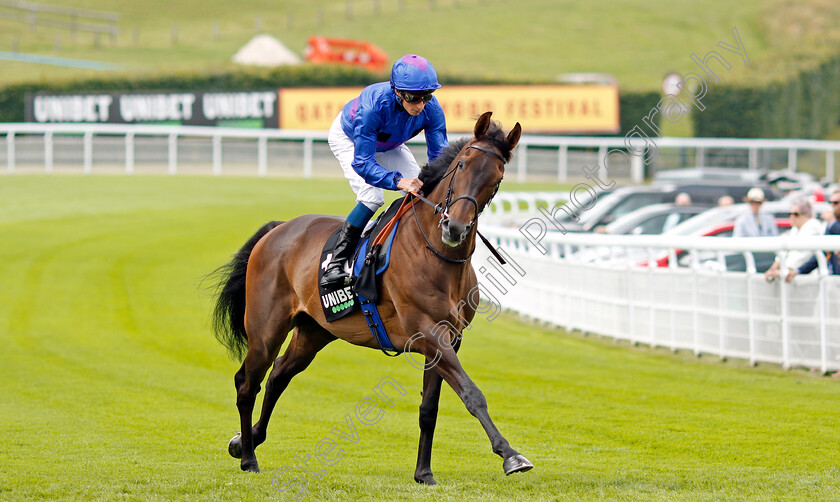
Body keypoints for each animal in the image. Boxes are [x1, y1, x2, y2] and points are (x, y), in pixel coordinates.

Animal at [213, 111, 536, 482]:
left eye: (497, 178)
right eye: (462, 164)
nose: (455, 228)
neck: (437, 254)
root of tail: (278, 228)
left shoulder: (449, 339)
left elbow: (429, 407)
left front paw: (423, 473)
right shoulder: (428, 330)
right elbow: (472, 393)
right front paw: (511, 455)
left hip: (314, 330)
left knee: (278, 375)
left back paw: (246, 439)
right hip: (266, 329)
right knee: (247, 383)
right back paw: (248, 457)